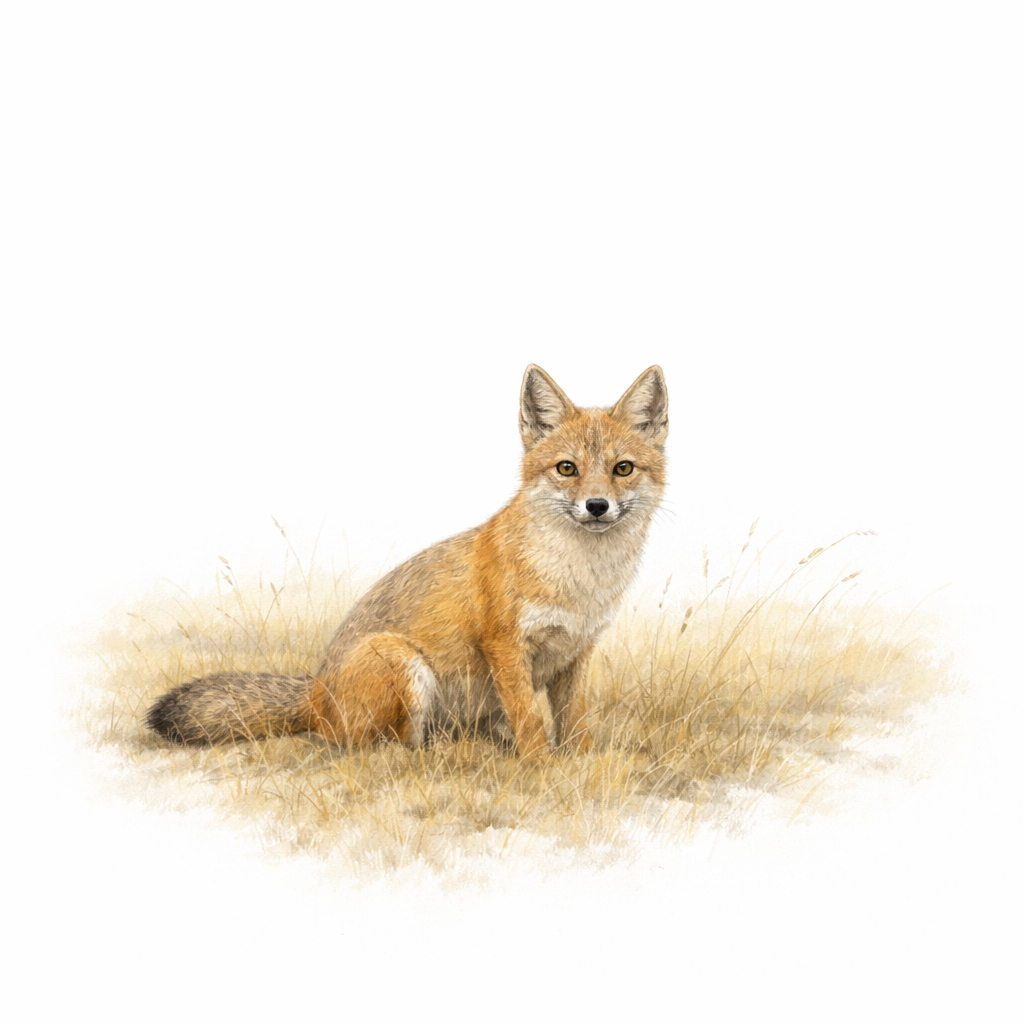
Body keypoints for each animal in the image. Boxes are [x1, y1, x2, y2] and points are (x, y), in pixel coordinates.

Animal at [147, 364, 668, 757]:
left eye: (622, 468)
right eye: (567, 468)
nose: (597, 506)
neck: (580, 582)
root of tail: (316, 693)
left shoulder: (575, 653)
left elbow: (574, 725)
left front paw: (580, 765)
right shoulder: (505, 646)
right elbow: (531, 722)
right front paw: (541, 768)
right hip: (402, 662)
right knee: (388, 748)